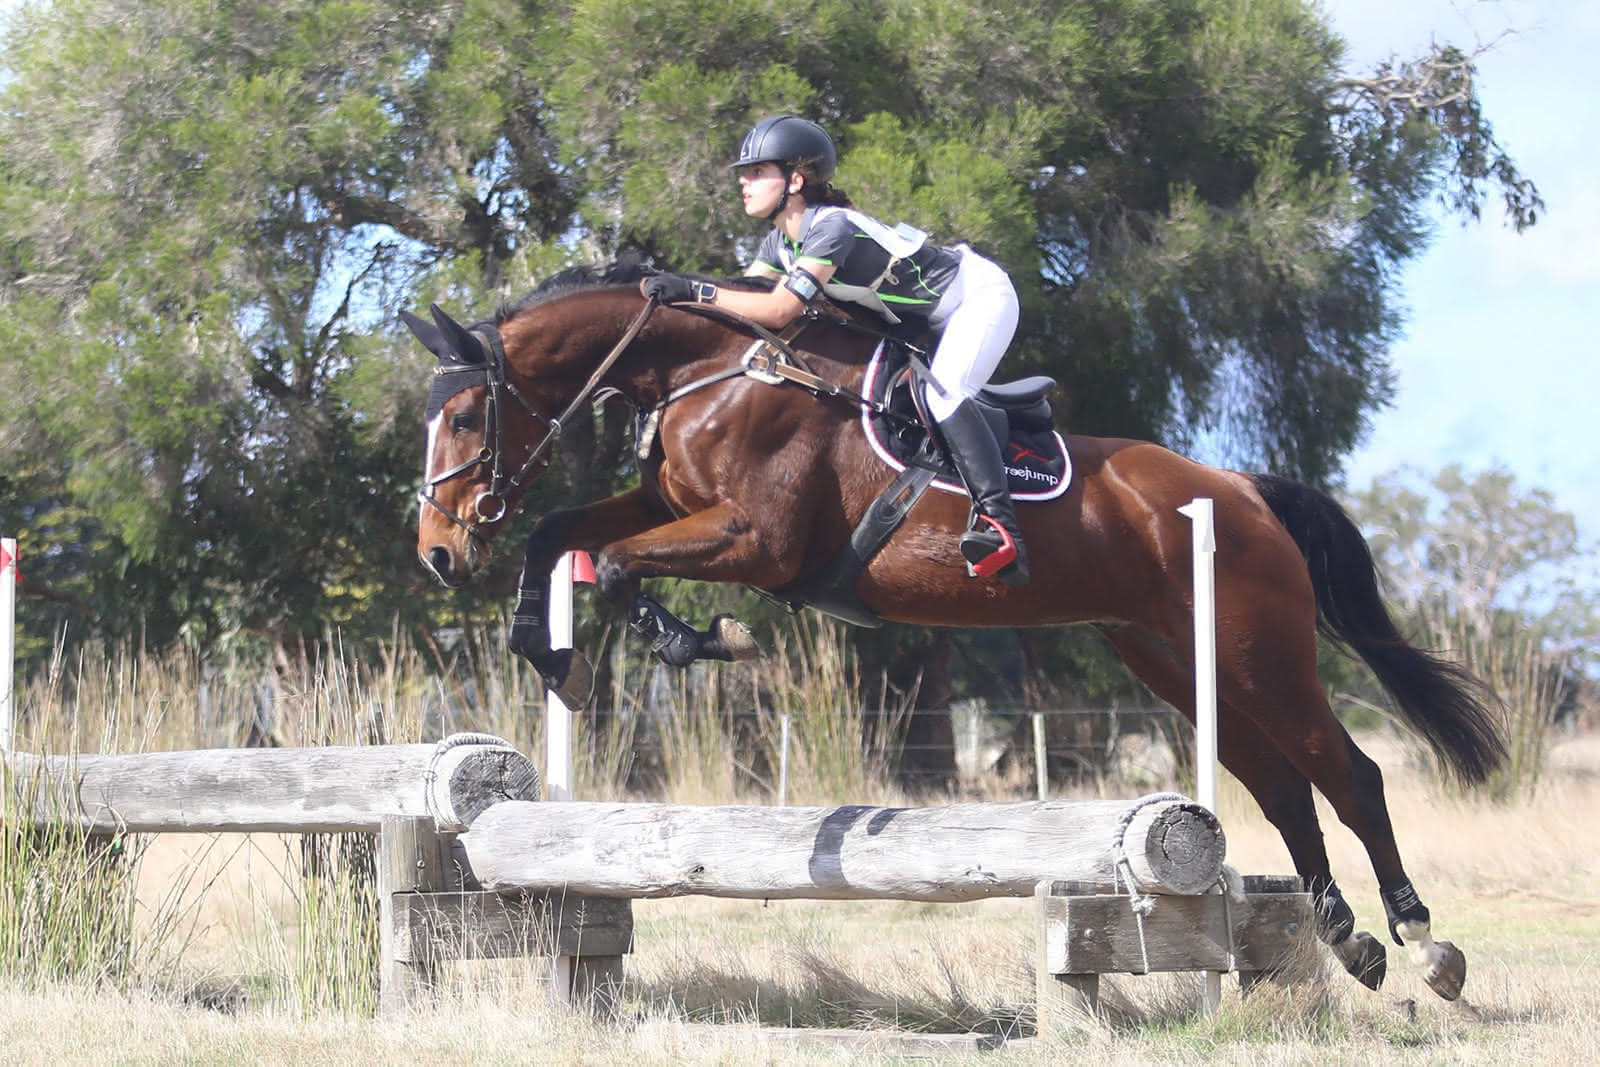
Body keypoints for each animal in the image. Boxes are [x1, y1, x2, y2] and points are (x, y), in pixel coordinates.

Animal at [400, 262, 1497, 1004]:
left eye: (465, 415)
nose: (438, 553)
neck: (709, 370)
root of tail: (1243, 487)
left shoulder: (757, 541)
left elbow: (625, 565)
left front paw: (699, 640)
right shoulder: (669, 507)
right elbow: (562, 531)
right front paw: (545, 650)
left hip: (1257, 650)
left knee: (1349, 773)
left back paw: (1420, 937)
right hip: (1176, 658)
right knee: (1280, 785)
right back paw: (1346, 938)